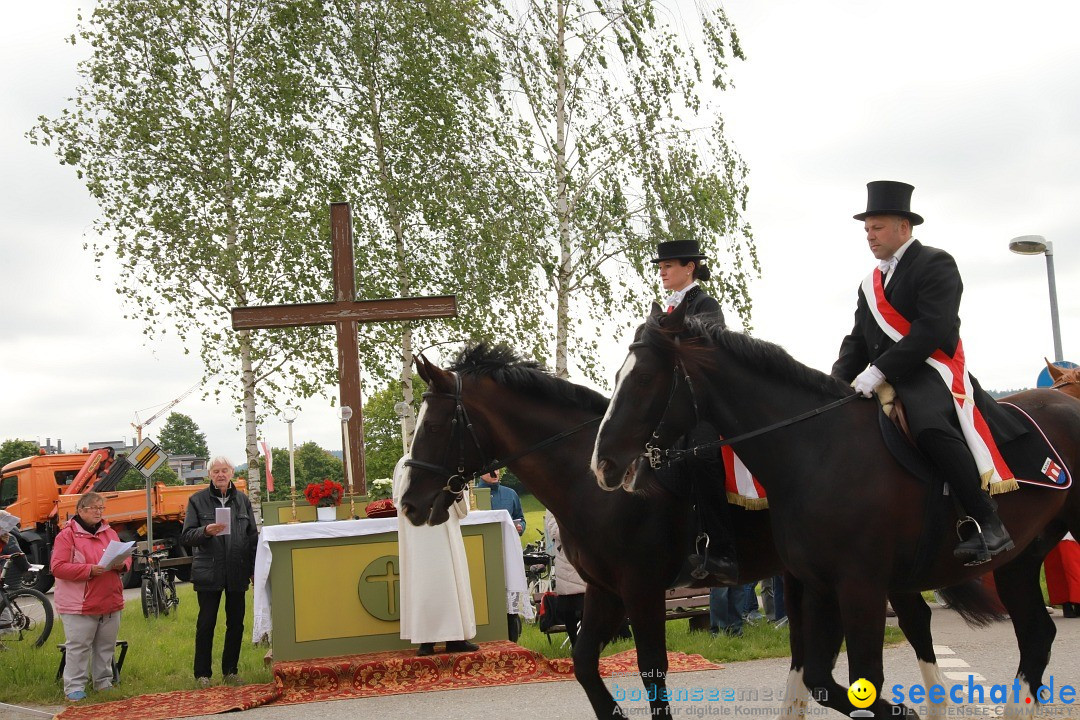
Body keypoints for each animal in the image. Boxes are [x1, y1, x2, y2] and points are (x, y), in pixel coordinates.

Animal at [401, 343, 997, 720]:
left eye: (435, 423)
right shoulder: (603, 591)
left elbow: (652, 672)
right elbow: (585, 665)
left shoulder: (640, 589)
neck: (590, 478)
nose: (408, 503)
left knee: (914, 623)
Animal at [591, 304, 1080, 720]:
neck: (817, 451)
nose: (603, 465)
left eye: (644, 379)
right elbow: (820, 680)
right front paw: (904, 711)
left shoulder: (861, 588)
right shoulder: (819, 586)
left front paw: (903, 710)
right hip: (1019, 560)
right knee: (1036, 634)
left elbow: (862, 682)